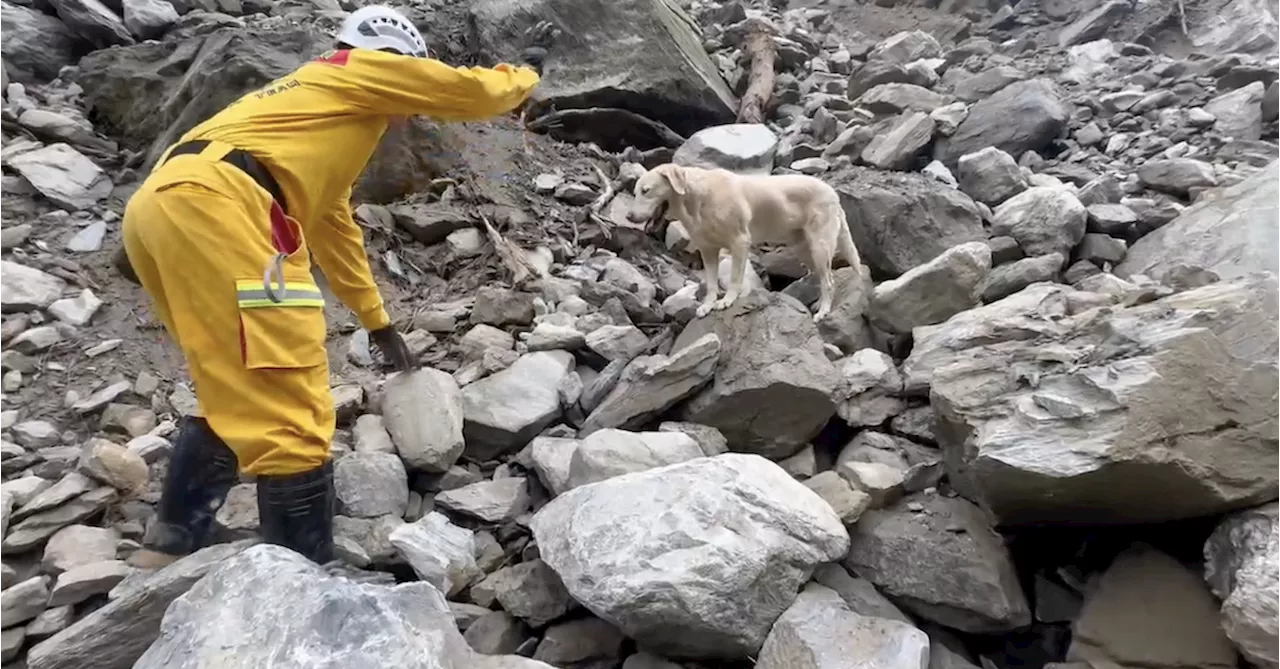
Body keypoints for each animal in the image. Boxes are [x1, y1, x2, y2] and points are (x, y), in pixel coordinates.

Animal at [627, 161, 860, 319]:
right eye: (635, 191)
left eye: (646, 191)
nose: (628, 216)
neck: (698, 199)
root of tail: (833, 193)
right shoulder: (708, 250)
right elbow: (711, 283)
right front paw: (708, 305)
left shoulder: (739, 242)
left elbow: (734, 278)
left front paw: (727, 301)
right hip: (803, 248)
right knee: (820, 277)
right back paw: (820, 303)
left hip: (820, 246)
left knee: (829, 280)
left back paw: (823, 311)